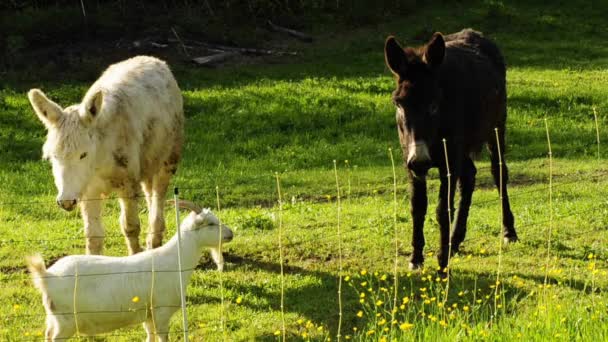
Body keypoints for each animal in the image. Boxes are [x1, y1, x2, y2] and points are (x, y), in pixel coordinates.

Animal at [25, 200, 233, 342]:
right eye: (211, 224)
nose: (231, 234)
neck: (175, 260)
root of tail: (47, 276)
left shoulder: (148, 315)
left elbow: (150, 337)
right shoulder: (161, 311)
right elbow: (162, 337)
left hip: (54, 317)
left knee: (47, 334)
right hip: (66, 321)